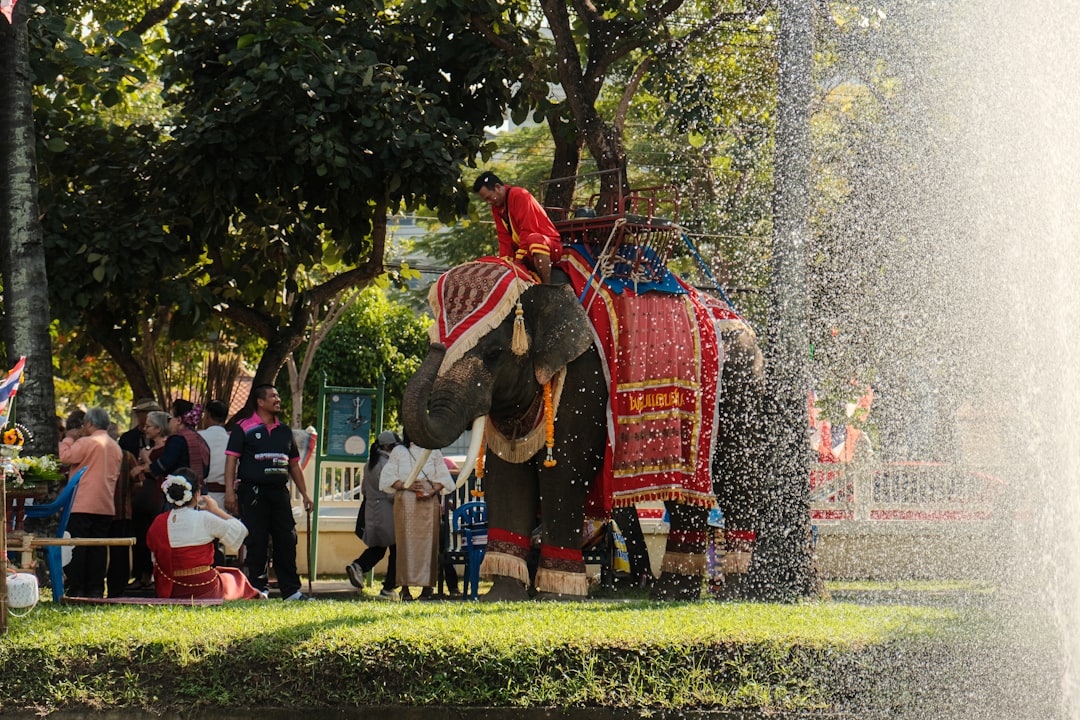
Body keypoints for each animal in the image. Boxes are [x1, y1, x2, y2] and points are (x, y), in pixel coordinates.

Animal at [401, 253, 764, 604]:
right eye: (431, 341)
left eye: (493, 352)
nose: (437, 346)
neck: (541, 288)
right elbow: (507, 472)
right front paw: (503, 596)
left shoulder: (584, 379)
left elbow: (563, 471)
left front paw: (556, 592)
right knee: (686, 497)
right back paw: (672, 594)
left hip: (743, 391)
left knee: (737, 482)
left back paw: (731, 593)